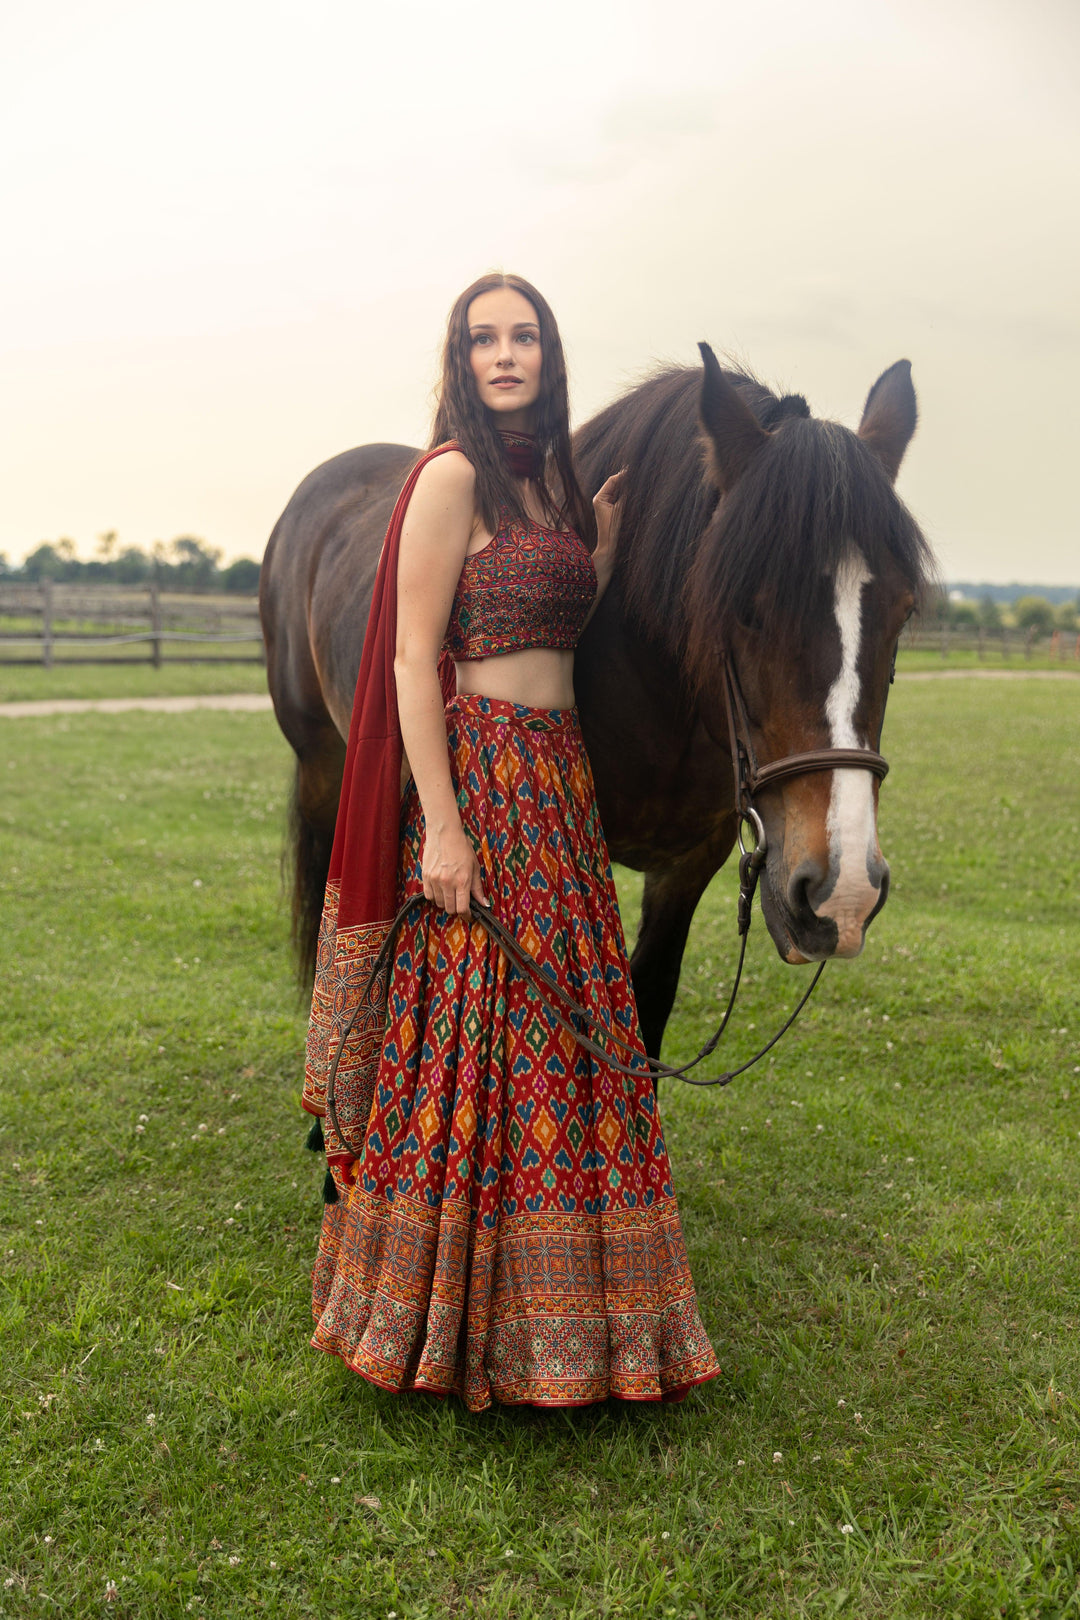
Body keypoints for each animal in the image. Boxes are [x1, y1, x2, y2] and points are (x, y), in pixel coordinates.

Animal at [257, 346, 932, 1056]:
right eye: (744, 609)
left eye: (903, 611)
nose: (843, 892)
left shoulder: (691, 864)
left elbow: (648, 1001)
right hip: (324, 768)